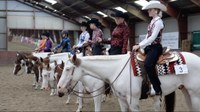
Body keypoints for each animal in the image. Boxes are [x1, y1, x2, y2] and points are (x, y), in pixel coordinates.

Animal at [58, 51, 200, 111]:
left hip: (195, 95)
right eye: (63, 68)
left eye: (68, 69)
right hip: (186, 93)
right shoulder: (122, 100)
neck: (116, 69)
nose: (59, 90)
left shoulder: (133, 101)